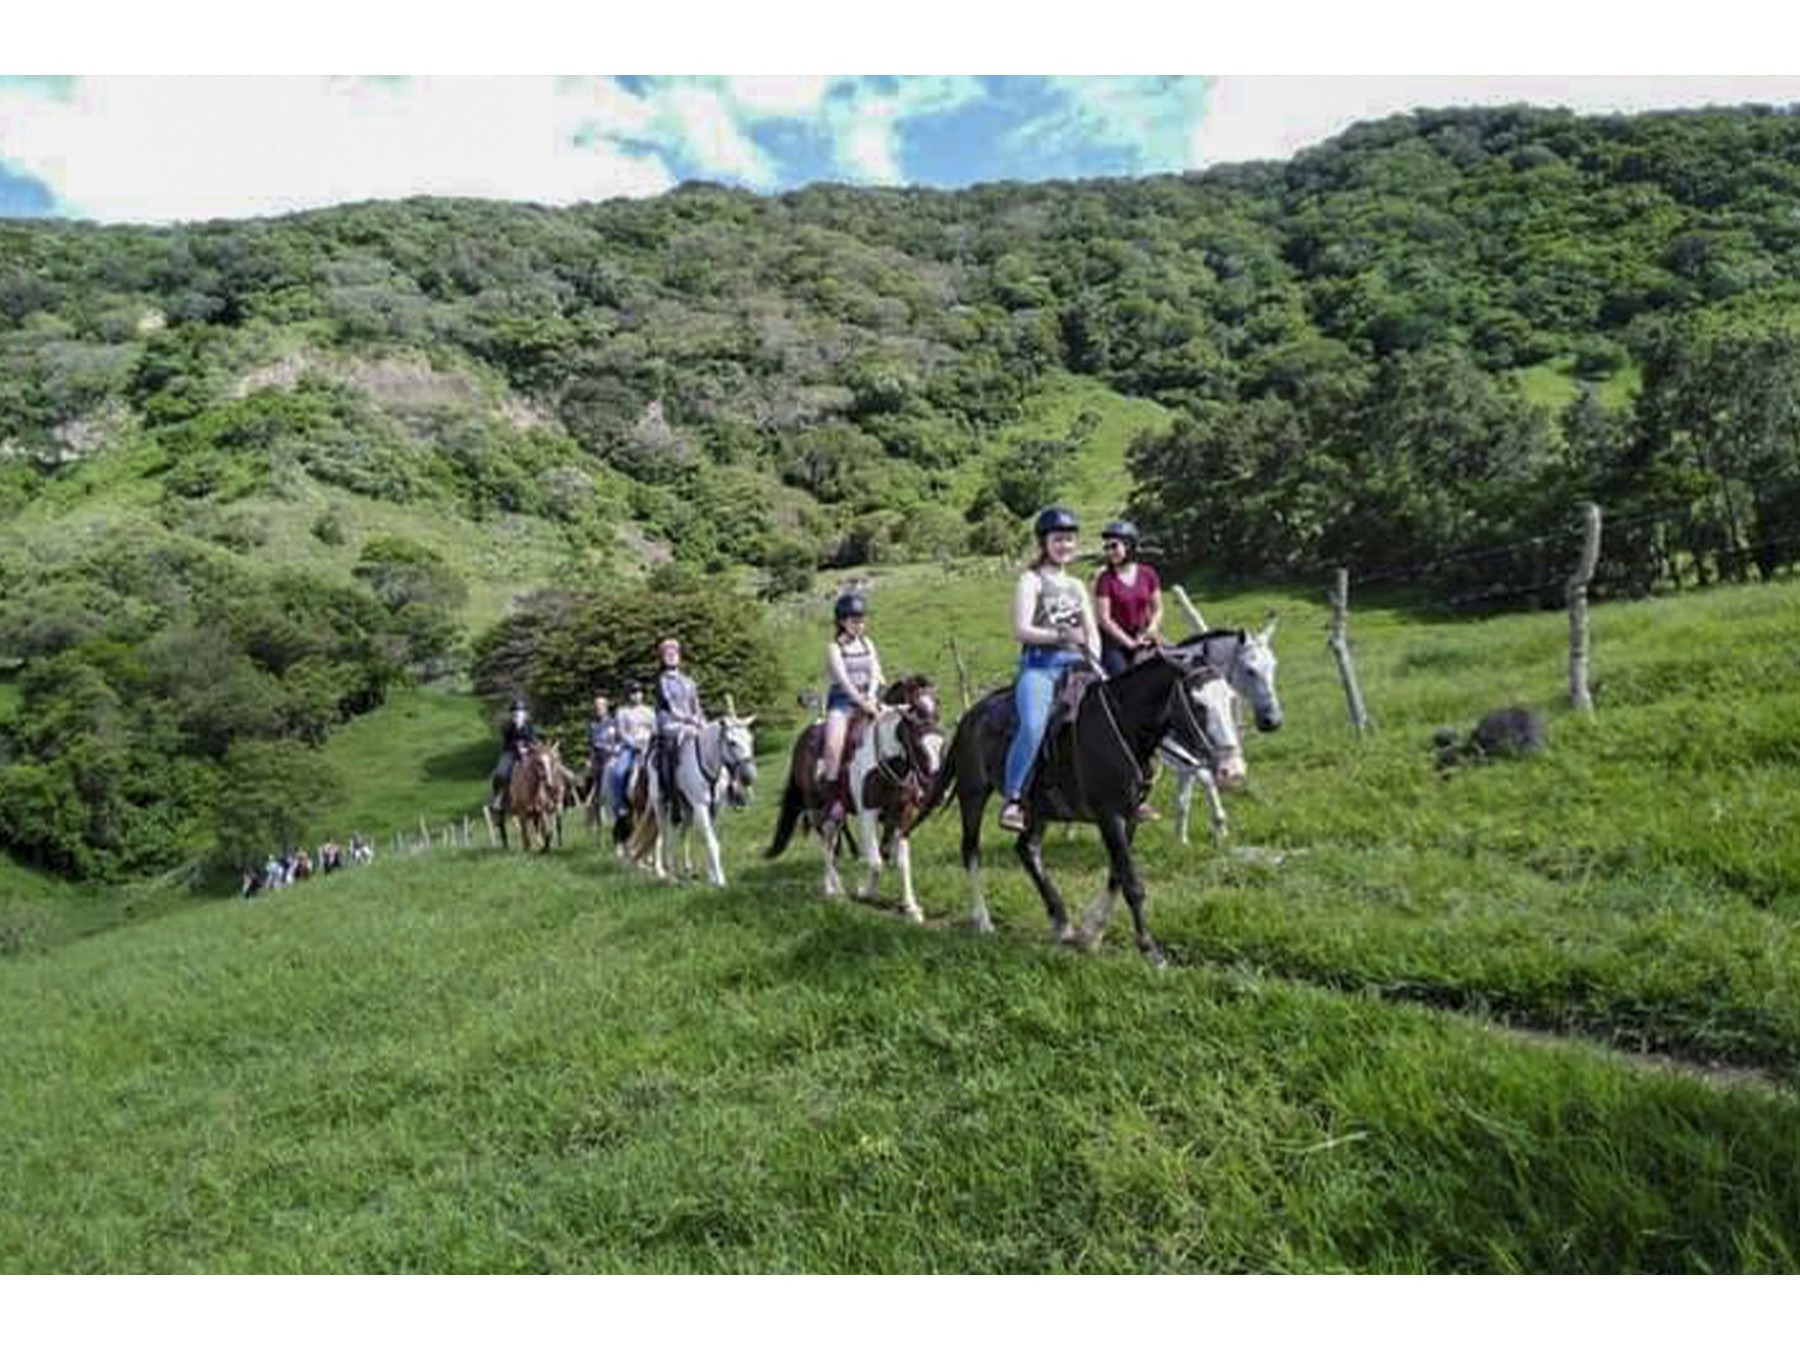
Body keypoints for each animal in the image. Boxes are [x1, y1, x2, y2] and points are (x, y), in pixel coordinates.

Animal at [626, 709, 759, 889]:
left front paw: (712, 877)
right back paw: (666, 874)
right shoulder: (700, 808)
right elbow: (712, 842)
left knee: (682, 834)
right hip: (660, 805)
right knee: (663, 836)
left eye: (750, 740)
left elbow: (709, 839)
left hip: (686, 810)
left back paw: (686, 869)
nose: (749, 777)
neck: (707, 763)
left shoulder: (715, 809)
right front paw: (720, 881)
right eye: (732, 742)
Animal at [766, 673, 950, 928]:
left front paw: (911, 907)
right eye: (917, 745)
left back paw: (834, 886)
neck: (887, 759)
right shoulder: (867, 815)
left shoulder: (903, 814)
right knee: (824, 844)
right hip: (816, 807)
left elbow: (901, 862)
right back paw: (833, 889)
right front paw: (866, 891)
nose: (936, 795)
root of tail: (803, 739)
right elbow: (876, 861)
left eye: (943, 743)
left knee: (832, 841)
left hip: (836, 811)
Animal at [921, 651, 1245, 964]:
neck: (1123, 726)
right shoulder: (1109, 816)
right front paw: (1149, 949)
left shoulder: (1129, 816)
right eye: (1198, 704)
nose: (1232, 771)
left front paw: (1091, 932)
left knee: (1027, 850)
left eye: (1231, 700)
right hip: (973, 794)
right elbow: (1132, 883)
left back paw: (1062, 923)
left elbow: (1117, 875)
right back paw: (983, 921)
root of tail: (969, 716)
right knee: (971, 851)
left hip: (1037, 809)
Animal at [1152, 622, 1281, 846]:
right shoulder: (1175, 750)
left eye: (1273, 665)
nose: (1273, 721)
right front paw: (1219, 826)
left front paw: (1182, 840)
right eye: (1250, 670)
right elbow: (1205, 777)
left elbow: (1184, 797)